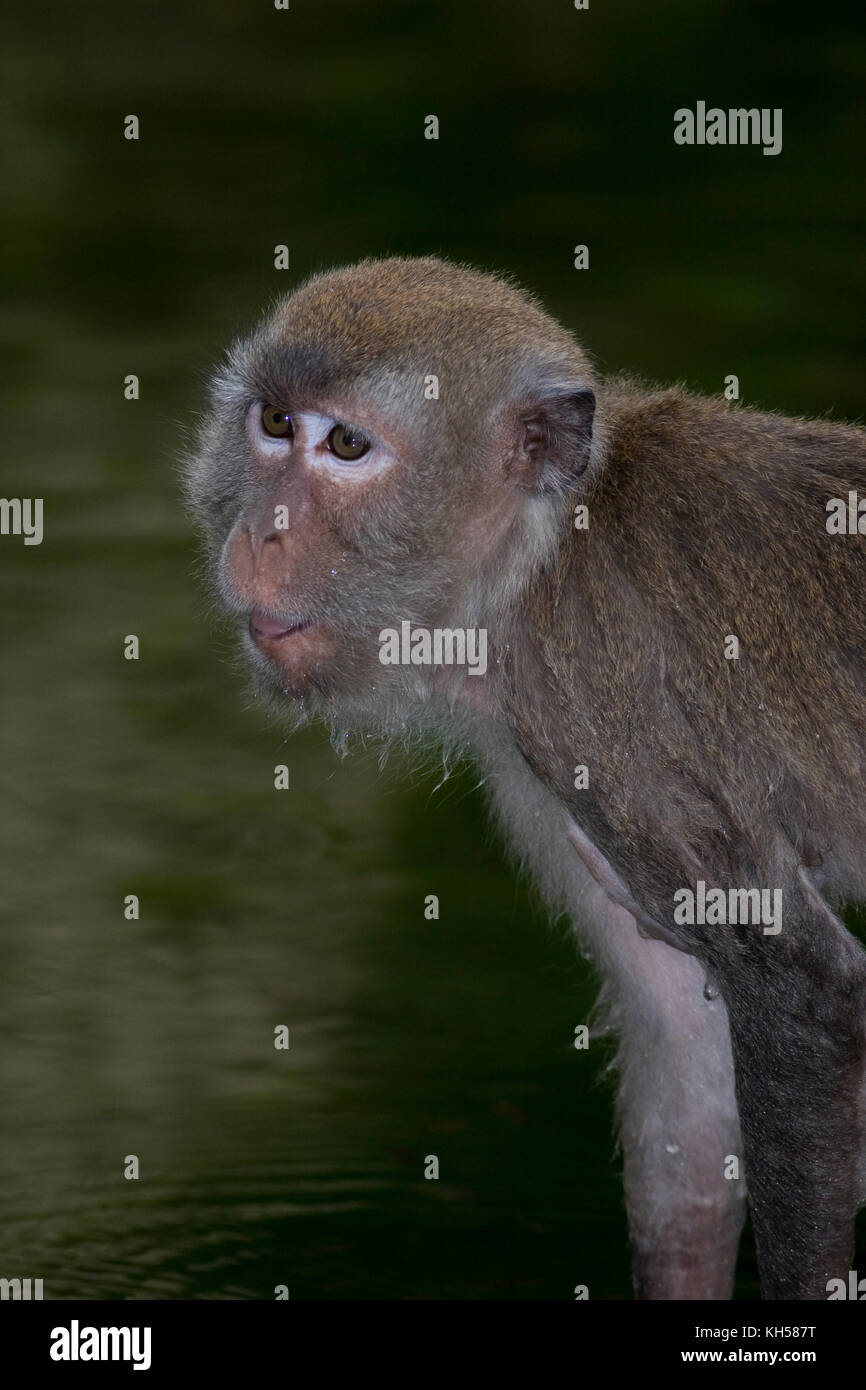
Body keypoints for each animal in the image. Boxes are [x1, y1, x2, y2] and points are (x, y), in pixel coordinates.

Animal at [184, 255, 866, 1300]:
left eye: (346, 445)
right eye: (273, 422)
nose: (263, 535)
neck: (532, 565)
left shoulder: (598, 712)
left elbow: (805, 992)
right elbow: (686, 1054)